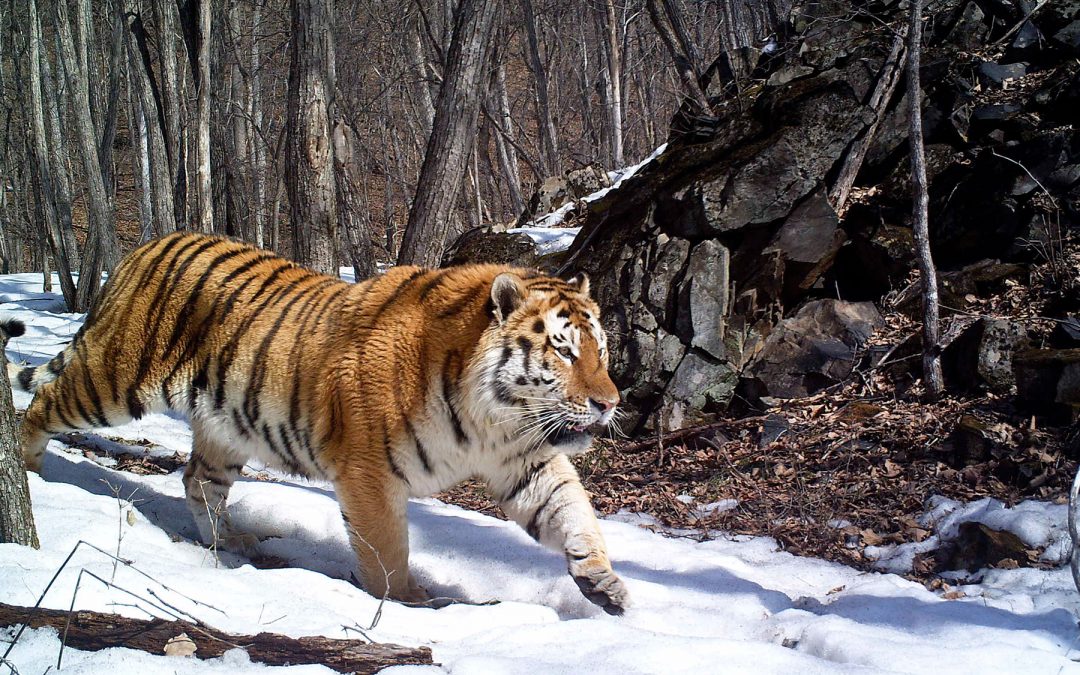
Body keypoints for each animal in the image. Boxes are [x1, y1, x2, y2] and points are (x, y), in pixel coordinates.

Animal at [8, 233, 630, 617]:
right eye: (563, 351)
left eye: (600, 350)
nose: (610, 403)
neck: (492, 417)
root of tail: (141, 249)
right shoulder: (369, 471)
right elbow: (386, 550)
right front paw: (408, 603)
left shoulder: (525, 459)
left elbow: (572, 513)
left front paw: (602, 581)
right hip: (114, 379)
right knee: (39, 405)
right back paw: (29, 469)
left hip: (225, 428)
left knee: (197, 479)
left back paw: (229, 543)